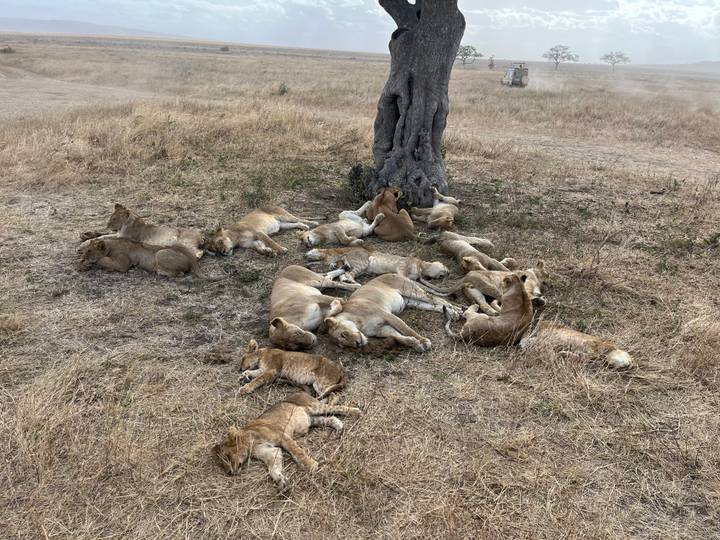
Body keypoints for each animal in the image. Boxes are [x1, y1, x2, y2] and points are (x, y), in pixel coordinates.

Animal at [78, 238, 206, 278]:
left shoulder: (123, 264)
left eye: (89, 251)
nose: (82, 259)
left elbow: (103, 260)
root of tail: (192, 258)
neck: (110, 246)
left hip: (160, 253)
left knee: (181, 273)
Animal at [214, 392, 361, 491]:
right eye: (221, 463)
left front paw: (311, 466)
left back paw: (355, 412)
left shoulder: (282, 436)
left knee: (335, 406)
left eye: (226, 457)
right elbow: (273, 468)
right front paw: (281, 482)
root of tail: (301, 392)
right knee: (330, 418)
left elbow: (297, 452)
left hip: (314, 406)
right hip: (312, 419)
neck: (250, 442)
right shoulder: (270, 452)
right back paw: (339, 428)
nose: (228, 472)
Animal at [305, 245, 448, 283]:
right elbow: (403, 276)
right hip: (362, 263)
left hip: (359, 266)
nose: (448, 272)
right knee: (348, 274)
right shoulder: (401, 266)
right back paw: (353, 282)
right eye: (443, 267)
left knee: (344, 272)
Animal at [325, 273, 462, 352]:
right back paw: (452, 312)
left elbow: (407, 330)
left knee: (438, 299)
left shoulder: (387, 315)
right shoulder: (381, 329)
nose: (357, 345)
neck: (359, 325)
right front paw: (416, 344)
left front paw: (423, 341)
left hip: (411, 291)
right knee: (435, 305)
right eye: (343, 345)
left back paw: (456, 311)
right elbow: (399, 337)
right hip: (412, 301)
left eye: (343, 334)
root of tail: (394, 273)